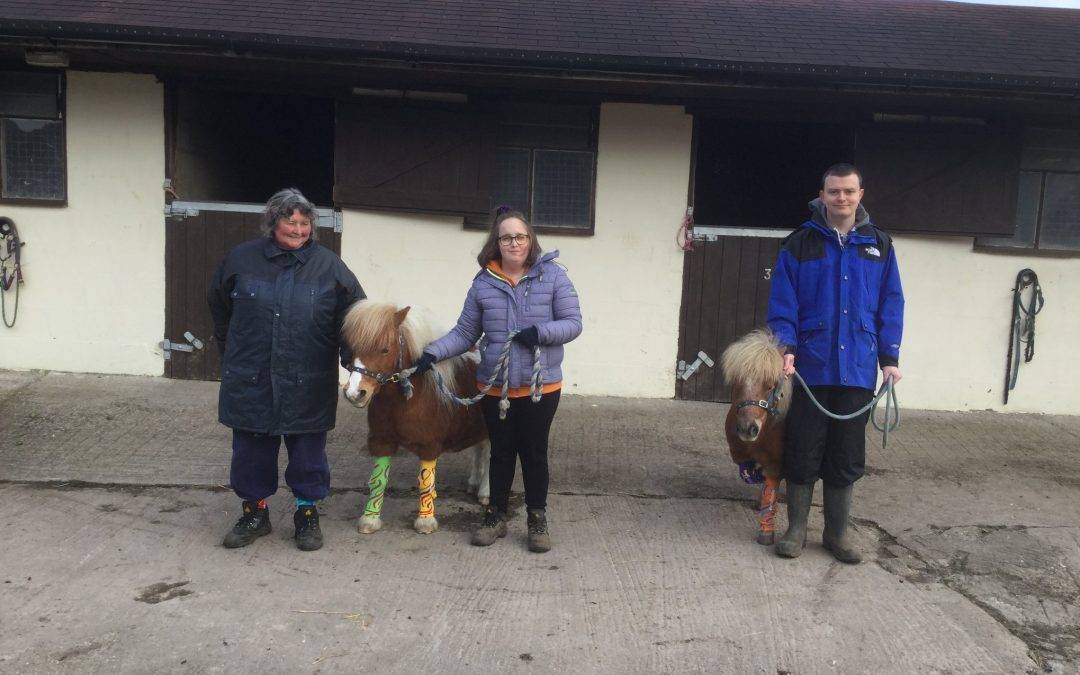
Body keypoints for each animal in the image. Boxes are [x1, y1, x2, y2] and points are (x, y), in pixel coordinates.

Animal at [341, 302, 490, 533]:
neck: (404, 401)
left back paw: (484, 491)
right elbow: (378, 480)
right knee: (479, 448)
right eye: (354, 348)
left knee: (489, 453)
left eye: (385, 349)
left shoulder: (429, 444)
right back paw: (474, 482)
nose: (355, 393)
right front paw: (370, 519)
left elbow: (425, 482)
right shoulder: (381, 441)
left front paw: (425, 521)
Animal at [721, 328, 790, 544]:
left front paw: (766, 530)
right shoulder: (740, 453)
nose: (747, 428)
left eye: (770, 385)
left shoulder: (777, 463)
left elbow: (771, 486)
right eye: (737, 383)